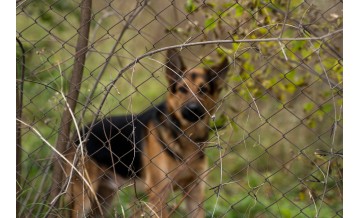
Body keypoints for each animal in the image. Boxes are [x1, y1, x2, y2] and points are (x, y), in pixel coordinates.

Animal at [65, 48, 229, 217]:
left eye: (203, 90)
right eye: (183, 89)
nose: (193, 109)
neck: (186, 135)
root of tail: (78, 135)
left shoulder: (195, 193)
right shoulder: (158, 193)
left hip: (102, 200)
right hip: (84, 199)